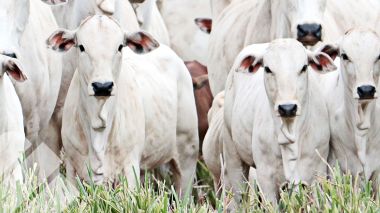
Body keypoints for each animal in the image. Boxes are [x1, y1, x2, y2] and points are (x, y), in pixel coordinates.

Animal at [47, 15, 199, 194]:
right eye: (82, 47)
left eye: (120, 46)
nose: (102, 86)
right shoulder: (72, 167)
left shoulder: (129, 168)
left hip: (188, 154)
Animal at [224, 39, 336, 204]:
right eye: (268, 69)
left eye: (304, 67)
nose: (287, 108)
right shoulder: (266, 178)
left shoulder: (317, 173)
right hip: (233, 156)